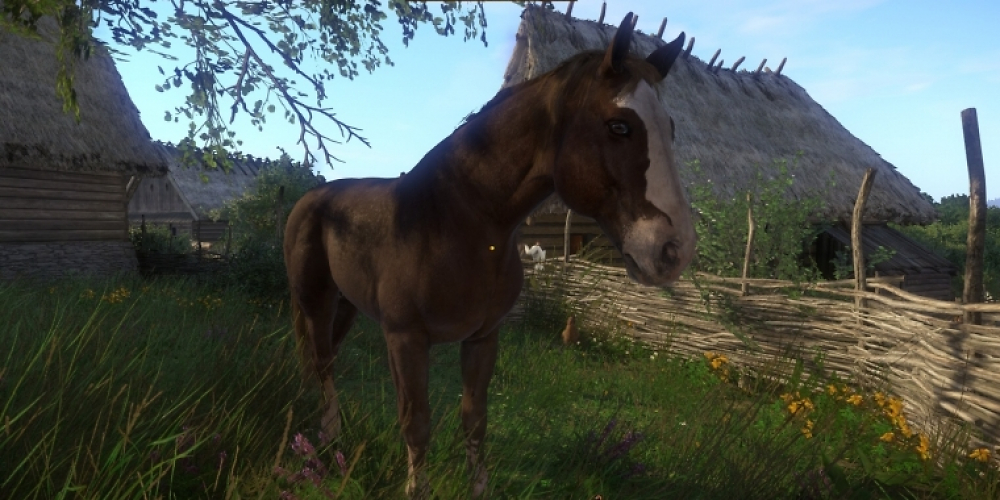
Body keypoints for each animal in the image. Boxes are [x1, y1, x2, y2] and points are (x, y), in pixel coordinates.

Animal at [283, 12, 695, 498]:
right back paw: (327, 435)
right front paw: (416, 488)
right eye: (619, 126)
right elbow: (416, 422)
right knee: (322, 361)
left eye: (671, 128)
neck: (459, 222)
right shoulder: (406, 339)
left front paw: (478, 486)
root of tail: (311, 198)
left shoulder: (483, 338)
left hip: (347, 303)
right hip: (315, 300)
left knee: (325, 356)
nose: (674, 249)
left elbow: (475, 419)